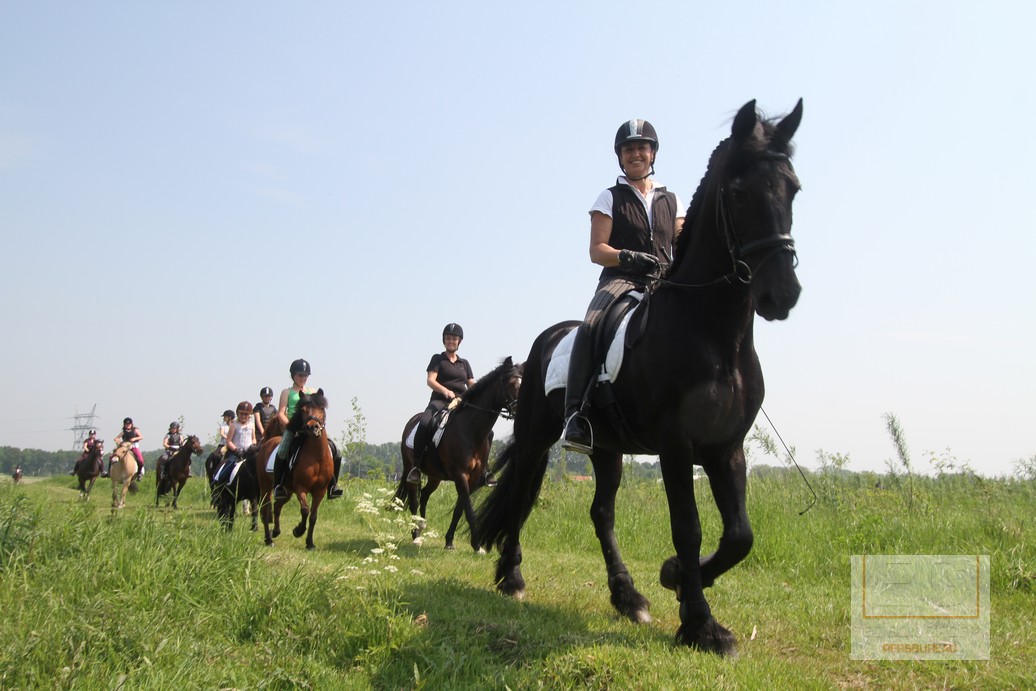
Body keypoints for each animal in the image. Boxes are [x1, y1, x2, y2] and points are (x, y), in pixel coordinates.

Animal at [255, 389, 334, 549]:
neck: (317, 456)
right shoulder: (300, 487)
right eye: (303, 410)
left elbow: (313, 516)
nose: (313, 428)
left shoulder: (320, 490)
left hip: (287, 491)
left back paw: (275, 532)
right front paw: (298, 530)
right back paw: (268, 539)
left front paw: (310, 543)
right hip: (266, 486)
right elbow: (305, 510)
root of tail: (268, 442)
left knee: (277, 506)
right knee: (265, 510)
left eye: (322, 408)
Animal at [394, 357, 522, 550]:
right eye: (511, 383)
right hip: (410, 468)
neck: (470, 430)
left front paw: (449, 541)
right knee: (414, 499)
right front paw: (477, 545)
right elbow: (468, 509)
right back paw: (416, 535)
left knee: (424, 495)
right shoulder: (460, 474)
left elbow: (459, 509)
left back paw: (422, 527)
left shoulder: (473, 478)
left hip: (435, 476)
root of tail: (412, 421)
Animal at [476, 100, 804, 657]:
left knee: (601, 513)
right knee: (521, 493)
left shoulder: (725, 446)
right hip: (537, 435)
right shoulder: (676, 444)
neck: (714, 334)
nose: (783, 294)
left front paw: (676, 579)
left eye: (794, 189)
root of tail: (548, 339)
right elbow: (688, 527)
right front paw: (701, 624)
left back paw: (627, 596)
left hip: (605, 448)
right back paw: (512, 578)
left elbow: (740, 535)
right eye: (740, 193)